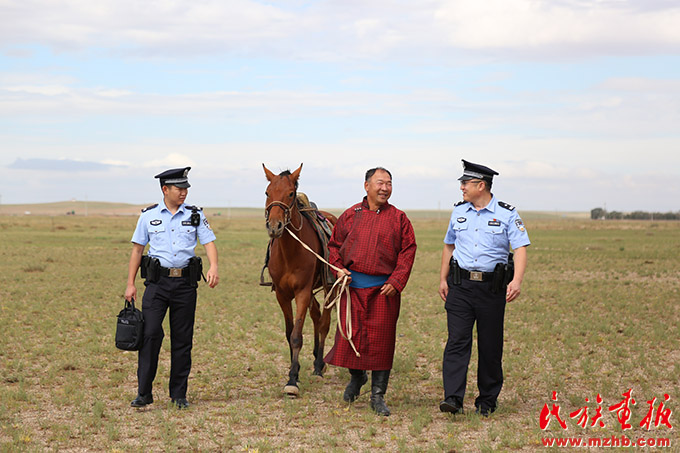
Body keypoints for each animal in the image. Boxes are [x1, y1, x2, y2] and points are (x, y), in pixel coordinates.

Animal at [262, 163, 336, 396]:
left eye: (291, 194)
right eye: (267, 192)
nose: (274, 226)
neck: (290, 251)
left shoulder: (302, 292)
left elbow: (296, 335)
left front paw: (293, 380)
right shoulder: (282, 295)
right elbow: (288, 333)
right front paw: (294, 370)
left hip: (330, 287)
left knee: (324, 323)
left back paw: (319, 365)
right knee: (316, 314)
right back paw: (316, 361)